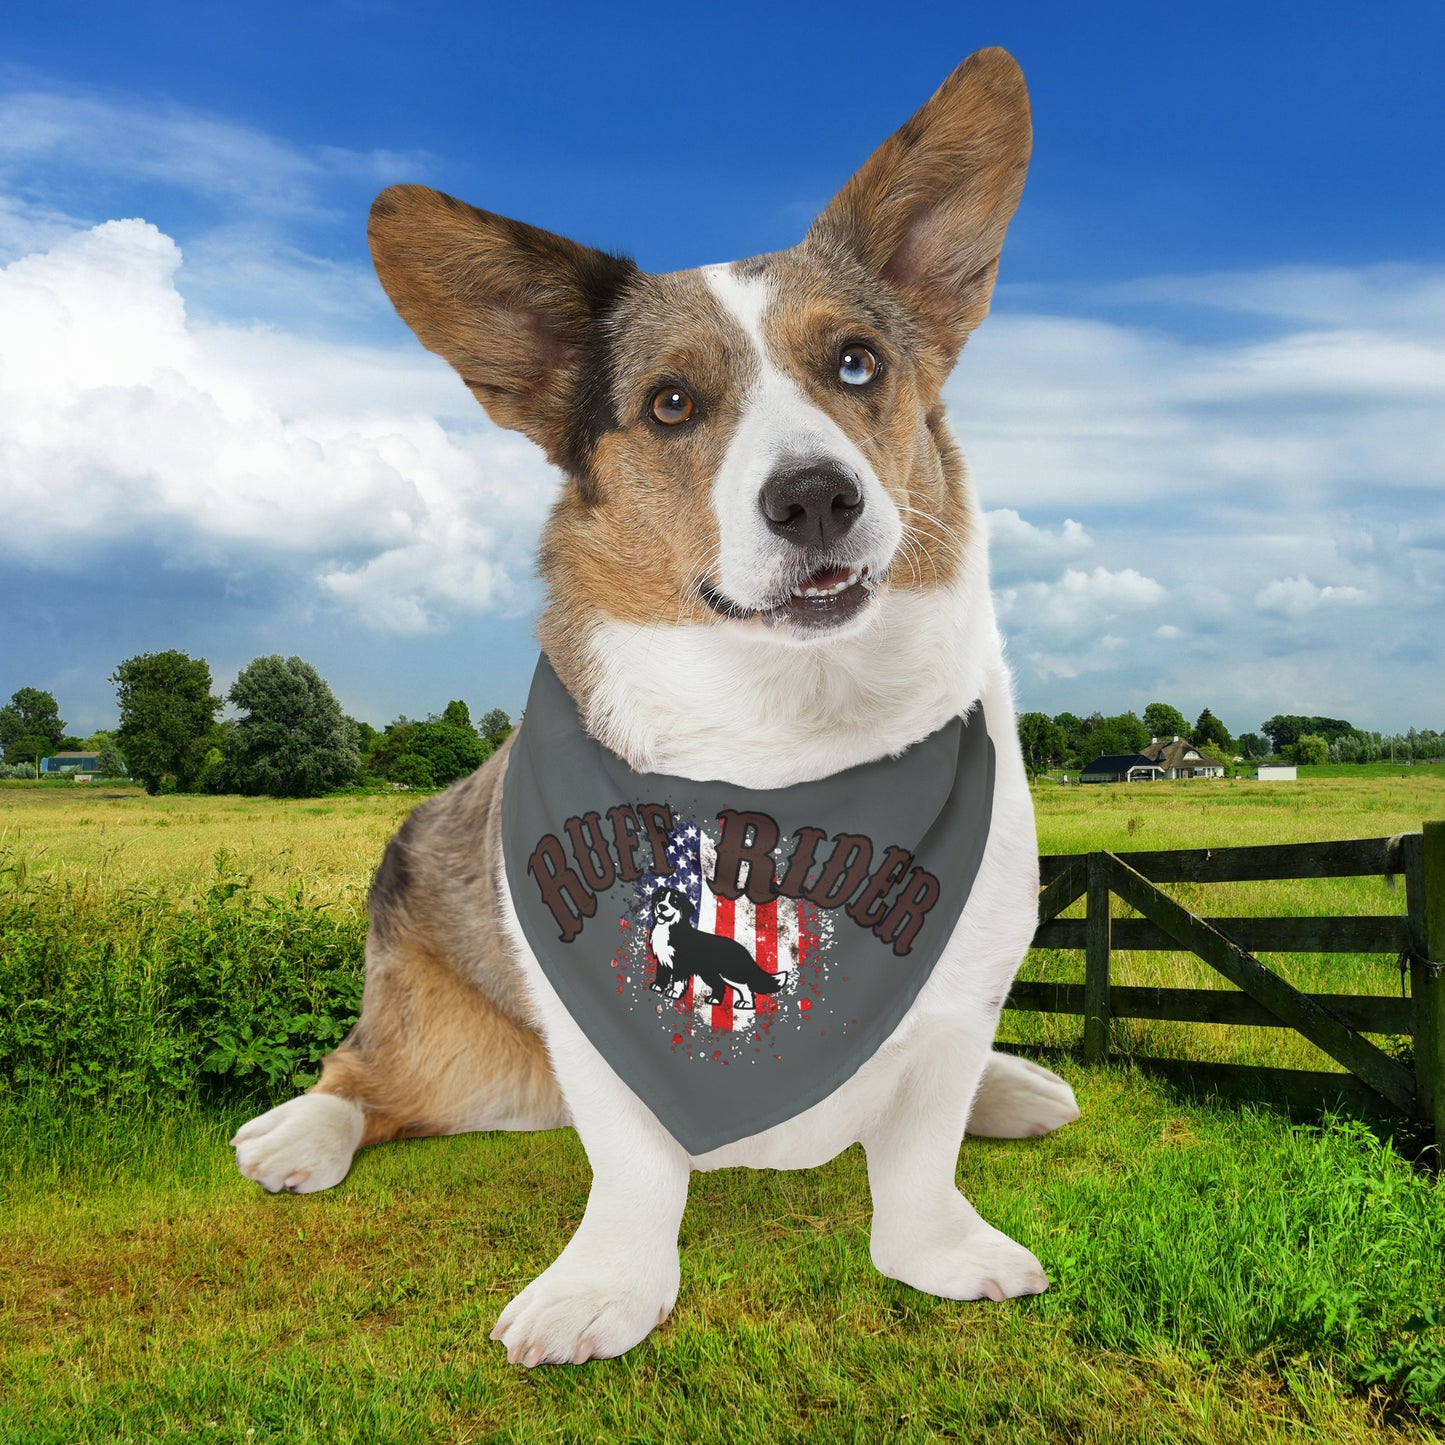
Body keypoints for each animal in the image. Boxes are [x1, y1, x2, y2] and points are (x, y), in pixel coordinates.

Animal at [650, 878, 797, 1005]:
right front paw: (657, 986)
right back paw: (719, 1000)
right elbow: (662, 975)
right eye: (661, 898)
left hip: (730, 973)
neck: (668, 929)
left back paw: (745, 1003)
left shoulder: (681, 964)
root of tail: (743, 949)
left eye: (674, 902)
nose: (662, 907)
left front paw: (673, 992)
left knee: (744, 986)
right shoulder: (663, 960)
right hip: (711, 973)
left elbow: (677, 981)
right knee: (723, 986)